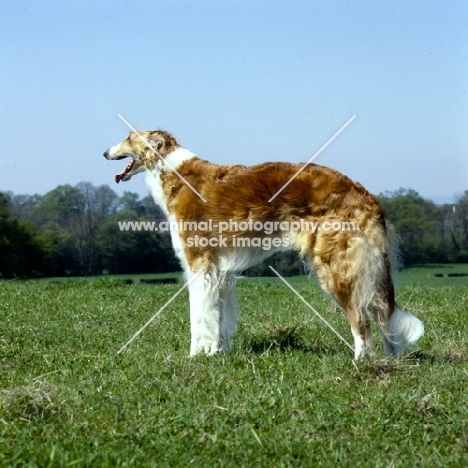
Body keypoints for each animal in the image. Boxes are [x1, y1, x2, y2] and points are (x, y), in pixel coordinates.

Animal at [103, 131, 424, 358]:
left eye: (128, 137)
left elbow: (200, 317)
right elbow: (219, 318)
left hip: (336, 266)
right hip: (368, 271)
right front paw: (218, 352)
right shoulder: (220, 272)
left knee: (362, 323)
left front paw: (195, 355)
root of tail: (365, 194)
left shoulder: (199, 265)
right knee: (382, 317)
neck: (175, 172)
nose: (105, 152)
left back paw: (360, 361)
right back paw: (390, 361)